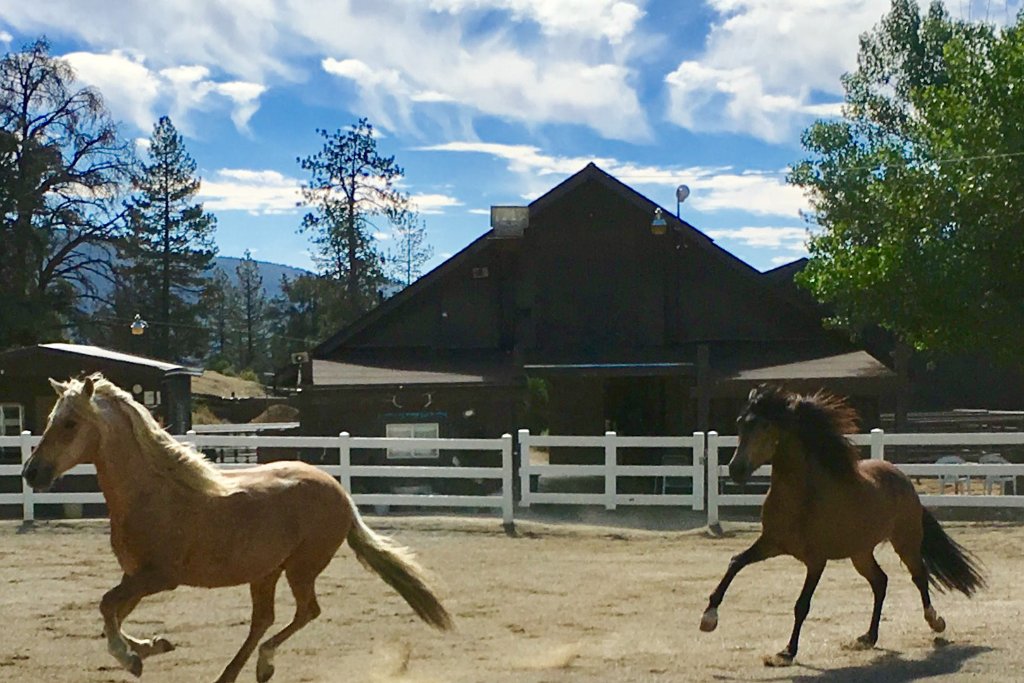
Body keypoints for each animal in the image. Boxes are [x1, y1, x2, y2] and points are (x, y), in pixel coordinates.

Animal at [21, 374, 453, 683]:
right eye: (50, 420)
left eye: (70, 423)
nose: (31, 473)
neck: (151, 492)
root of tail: (340, 494)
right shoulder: (134, 576)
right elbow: (113, 613)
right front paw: (152, 646)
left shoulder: (159, 577)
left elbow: (107, 606)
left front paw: (132, 658)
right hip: (265, 572)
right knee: (264, 619)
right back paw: (232, 674)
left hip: (300, 567)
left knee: (305, 611)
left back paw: (263, 666)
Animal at [699, 384, 984, 667]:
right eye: (740, 423)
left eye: (766, 425)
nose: (736, 470)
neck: (801, 497)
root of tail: (902, 478)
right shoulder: (771, 543)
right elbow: (736, 562)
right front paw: (709, 618)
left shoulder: (816, 560)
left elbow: (802, 605)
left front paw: (787, 652)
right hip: (860, 552)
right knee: (880, 581)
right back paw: (868, 637)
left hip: (905, 541)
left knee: (919, 576)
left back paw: (935, 621)